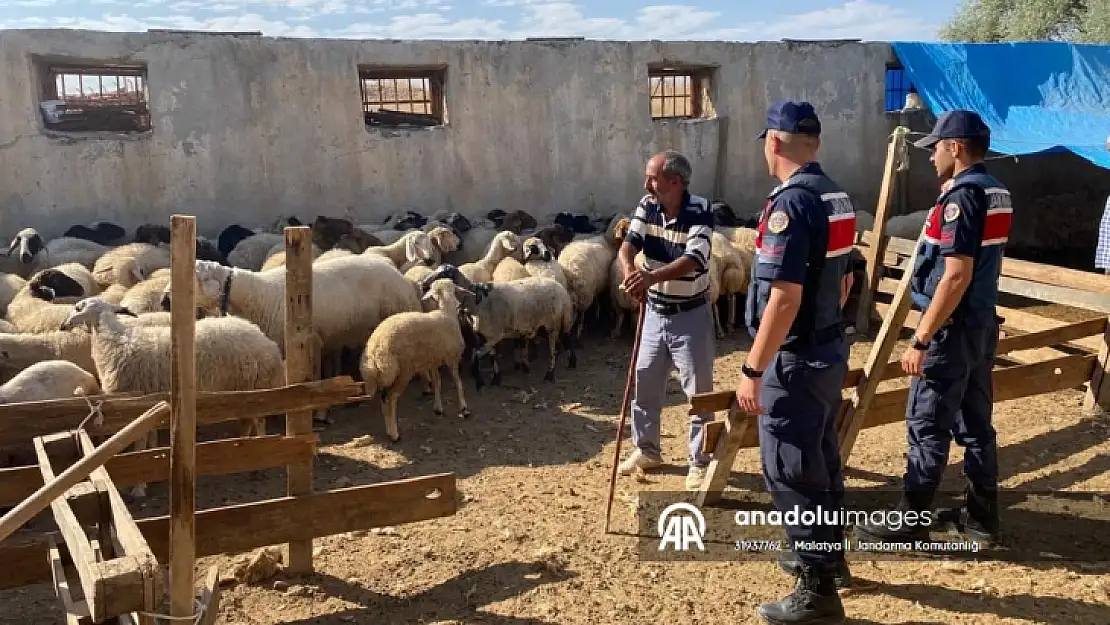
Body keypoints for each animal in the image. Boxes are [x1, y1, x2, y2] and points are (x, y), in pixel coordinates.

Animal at [59, 297, 286, 499]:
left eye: (78, 307)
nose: (63, 325)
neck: (114, 342)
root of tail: (266, 342)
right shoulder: (151, 404)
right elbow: (150, 441)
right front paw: (152, 472)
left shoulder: (137, 405)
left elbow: (140, 445)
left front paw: (139, 487)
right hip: (241, 390)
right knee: (248, 420)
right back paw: (241, 446)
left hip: (256, 385)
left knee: (260, 421)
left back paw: (259, 464)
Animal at [359, 278, 472, 444]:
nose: (459, 306)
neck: (447, 313)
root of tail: (376, 348)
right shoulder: (452, 357)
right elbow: (458, 381)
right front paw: (464, 408)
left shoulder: (432, 361)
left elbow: (437, 382)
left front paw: (438, 408)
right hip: (403, 370)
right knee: (390, 399)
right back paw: (394, 434)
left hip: (388, 374)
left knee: (384, 399)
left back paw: (389, 431)